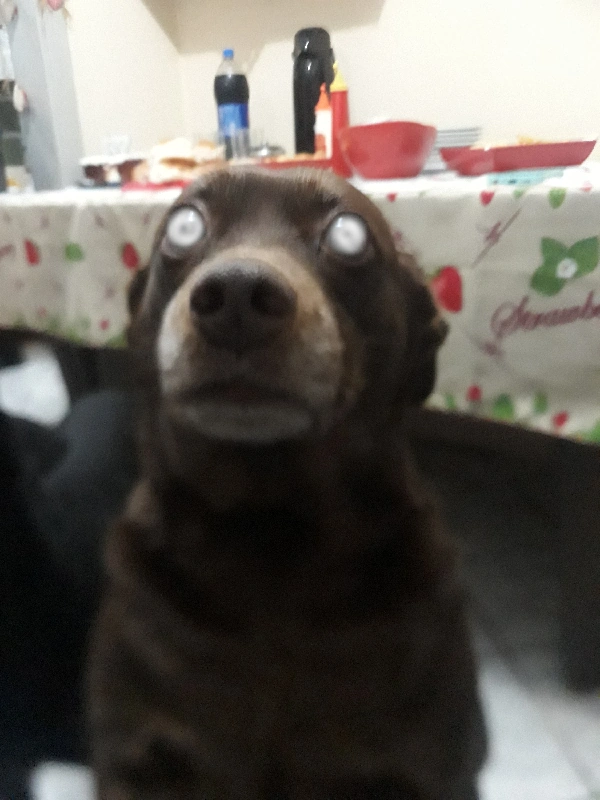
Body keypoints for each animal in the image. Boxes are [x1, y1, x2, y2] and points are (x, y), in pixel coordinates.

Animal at [88, 166, 487, 800]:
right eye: (184, 225)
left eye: (349, 235)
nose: (236, 296)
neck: (270, 534)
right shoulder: (134, 759)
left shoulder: (436, 766)